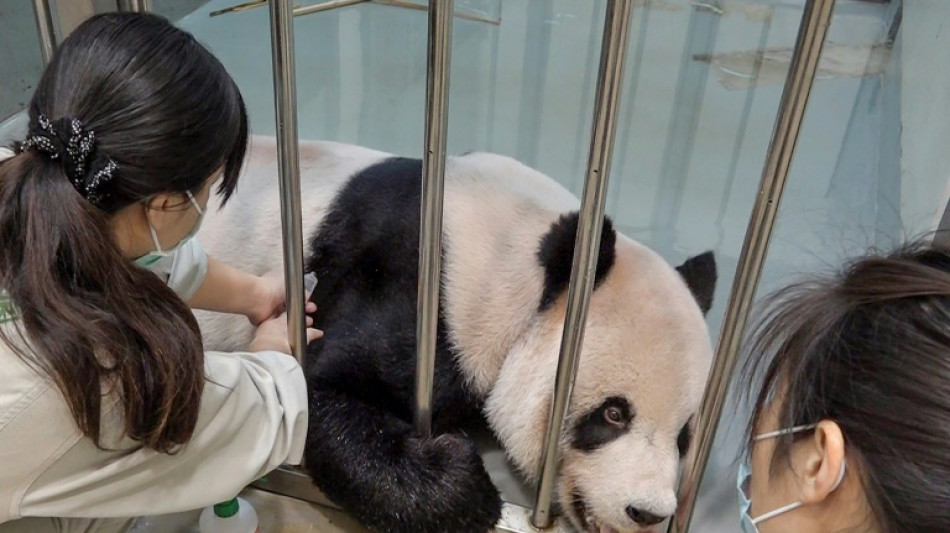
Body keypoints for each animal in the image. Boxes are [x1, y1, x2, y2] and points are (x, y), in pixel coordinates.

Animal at [195, 136, 712, 532]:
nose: (648, 512)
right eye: (612, 414)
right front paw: (464, 480)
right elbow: (316, 389)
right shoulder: (416, 289)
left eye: (685, 436)